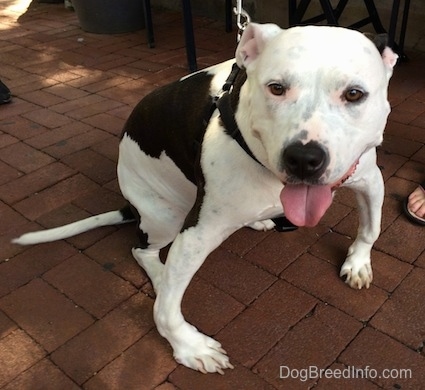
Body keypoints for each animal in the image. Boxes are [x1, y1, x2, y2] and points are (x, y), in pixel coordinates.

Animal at [14, 24, 398, 374]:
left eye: (354, 94)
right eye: (276, 88)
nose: (304, 158)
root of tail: (131, 206)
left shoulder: (369, 179)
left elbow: (371, 228)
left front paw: (358, 262)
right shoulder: (196, 234)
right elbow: (166, 309)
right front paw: (188, 345)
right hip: (166, 218)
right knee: (143, 251)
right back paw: (161, 273)